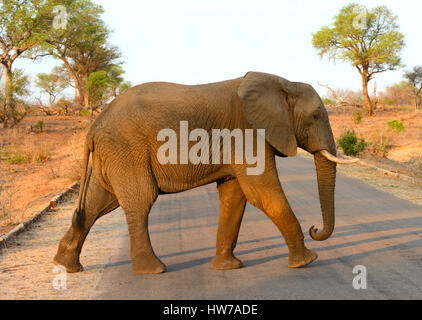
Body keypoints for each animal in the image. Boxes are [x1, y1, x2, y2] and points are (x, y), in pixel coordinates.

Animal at [53, 72, 356, 276]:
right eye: (315, 116)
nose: (314, 229)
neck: (282, 82)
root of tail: (93, 127)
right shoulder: (247, 134)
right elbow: (263, 194)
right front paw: (308, 261)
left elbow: (235, 196)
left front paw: (227, 267)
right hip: (126, 149)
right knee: (140, 201)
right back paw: (153, 270)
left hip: (113, 154)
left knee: (97, 204)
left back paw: (66, 266)